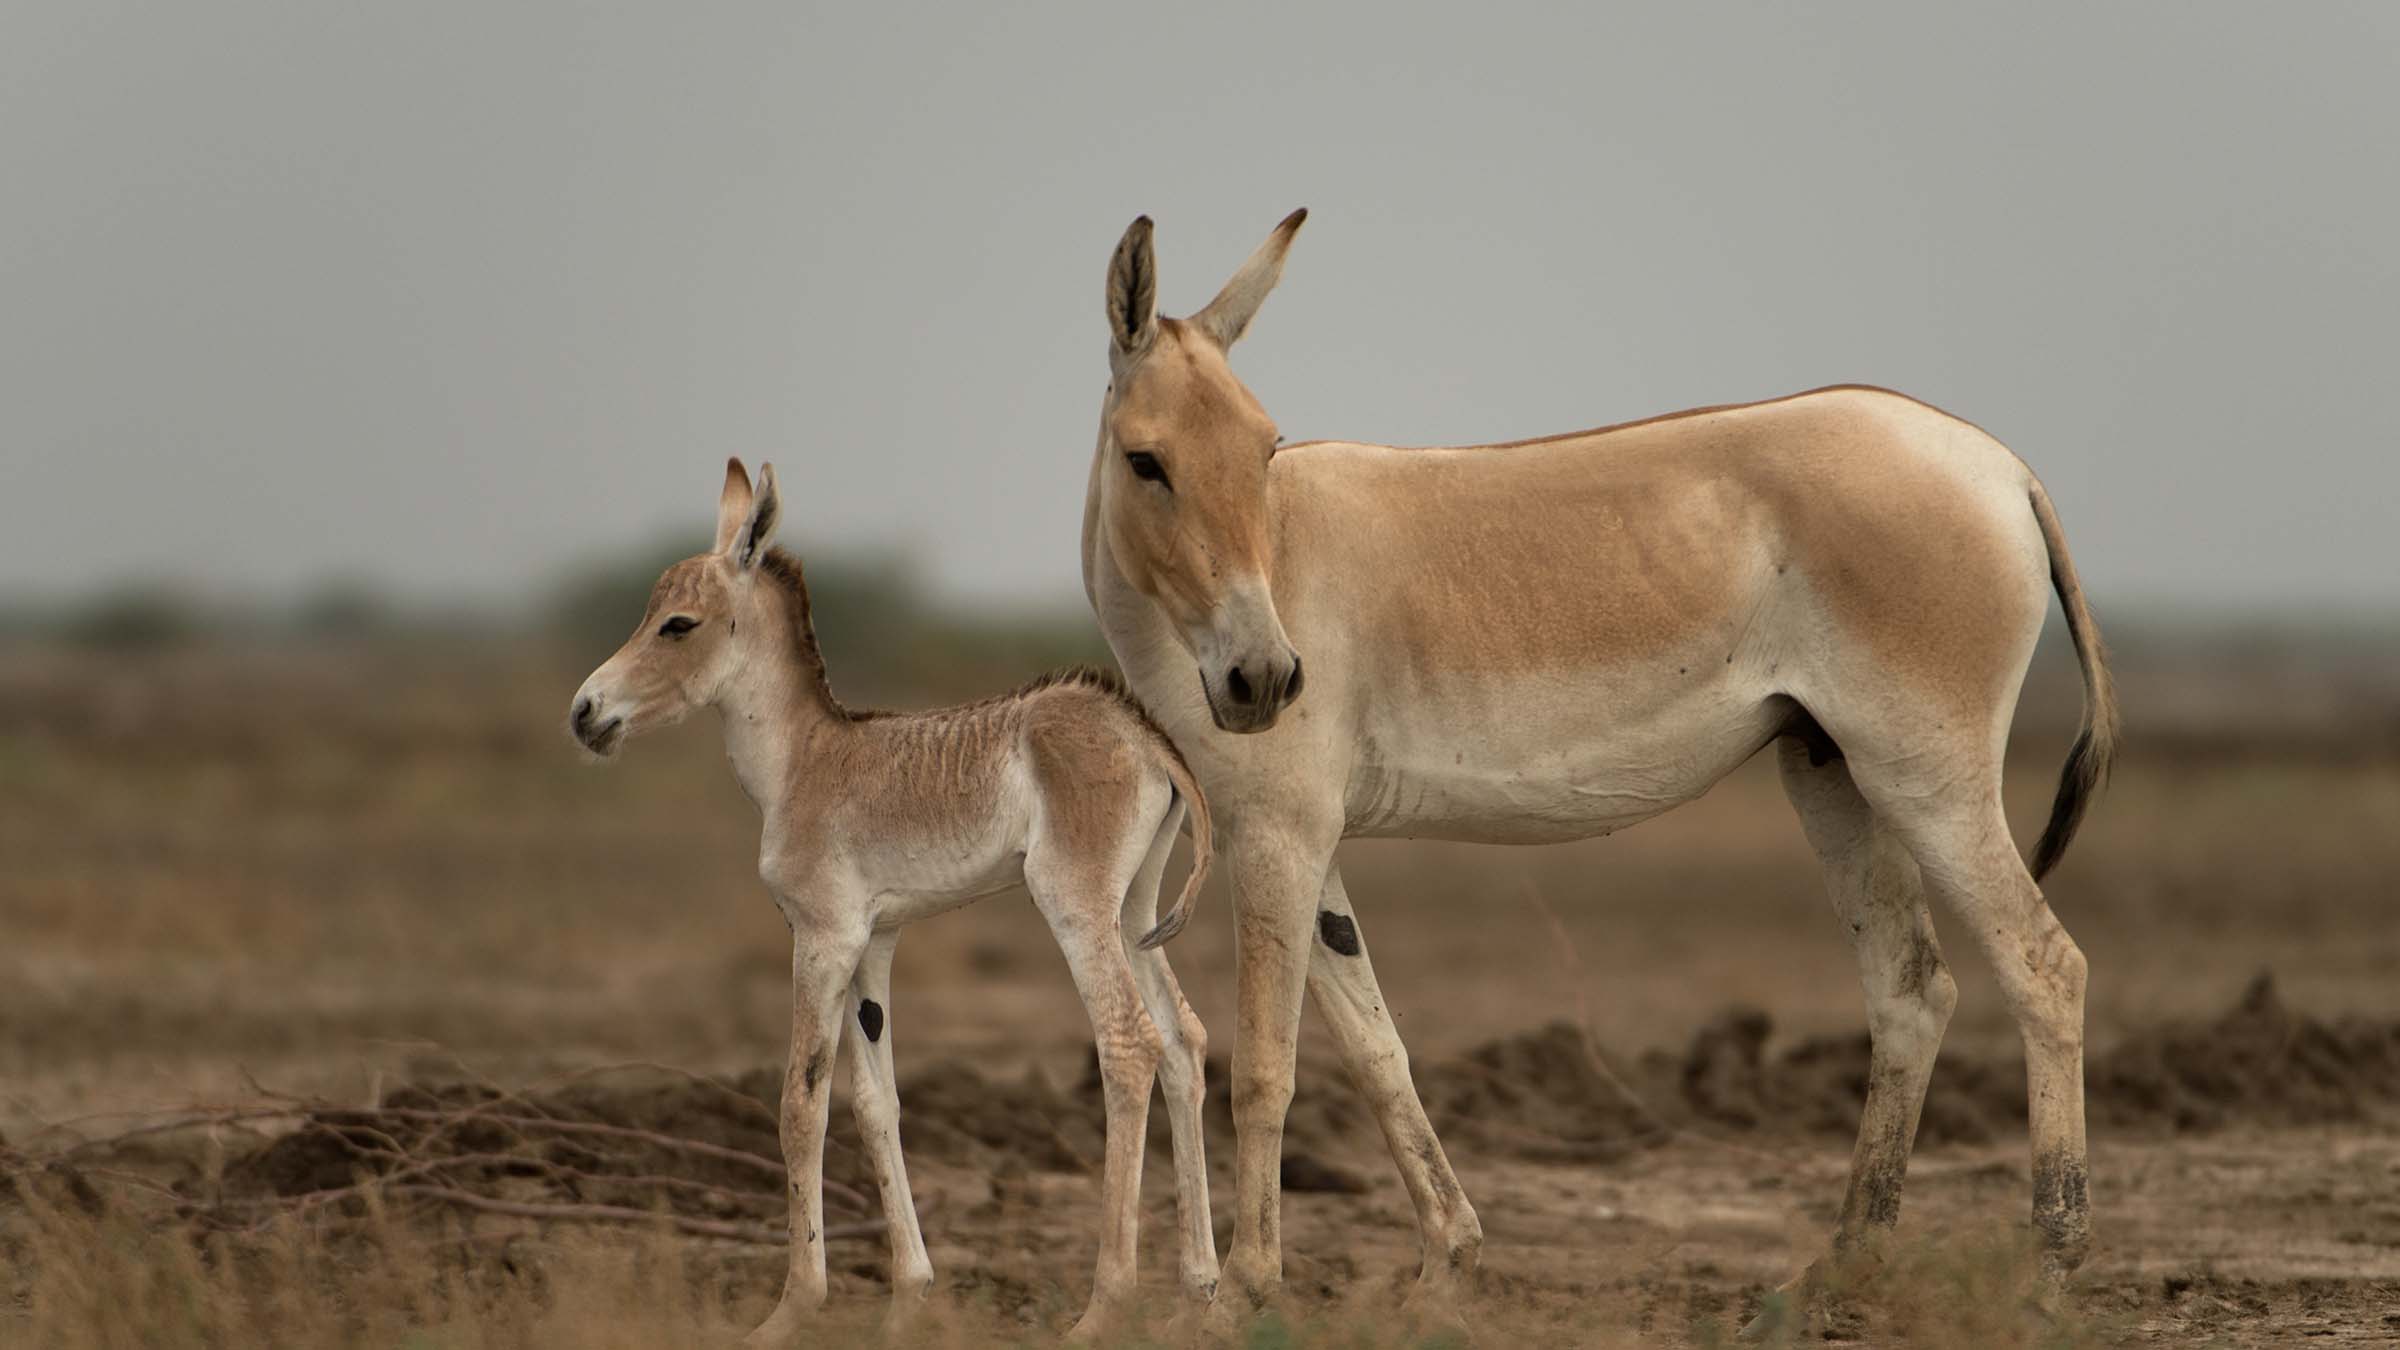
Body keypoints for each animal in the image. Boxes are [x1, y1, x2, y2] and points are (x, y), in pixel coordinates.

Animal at [573, 458, 1228, 1335]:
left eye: (677, 624)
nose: (584, 713)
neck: (803, 761)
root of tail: (1146, 735)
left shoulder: (820, 937)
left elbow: (801, 1103)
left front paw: (793, 1308)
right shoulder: (873, 943)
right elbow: (873, 1101)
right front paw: (909, 1295)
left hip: (1077, 906)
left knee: (1128, 1044)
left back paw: (1104, 1307)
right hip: (1135, 911)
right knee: (1184, 1040)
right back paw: (1203, 1292)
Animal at [1089, 214, 2121, 1325]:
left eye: (1265, 449)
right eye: (1146, 462)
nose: (1267, 681)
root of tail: (2000, 464)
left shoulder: (1278, 834)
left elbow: (1266, 1068)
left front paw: (1242, 1294)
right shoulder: (1296, 840)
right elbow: (1374, 1045)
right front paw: (1446, 1261)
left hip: (1929, 776)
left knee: (2044, 967)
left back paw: (2052, 1263)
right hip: (1835, 771)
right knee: (1912, 990)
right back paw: (1841, 1270)